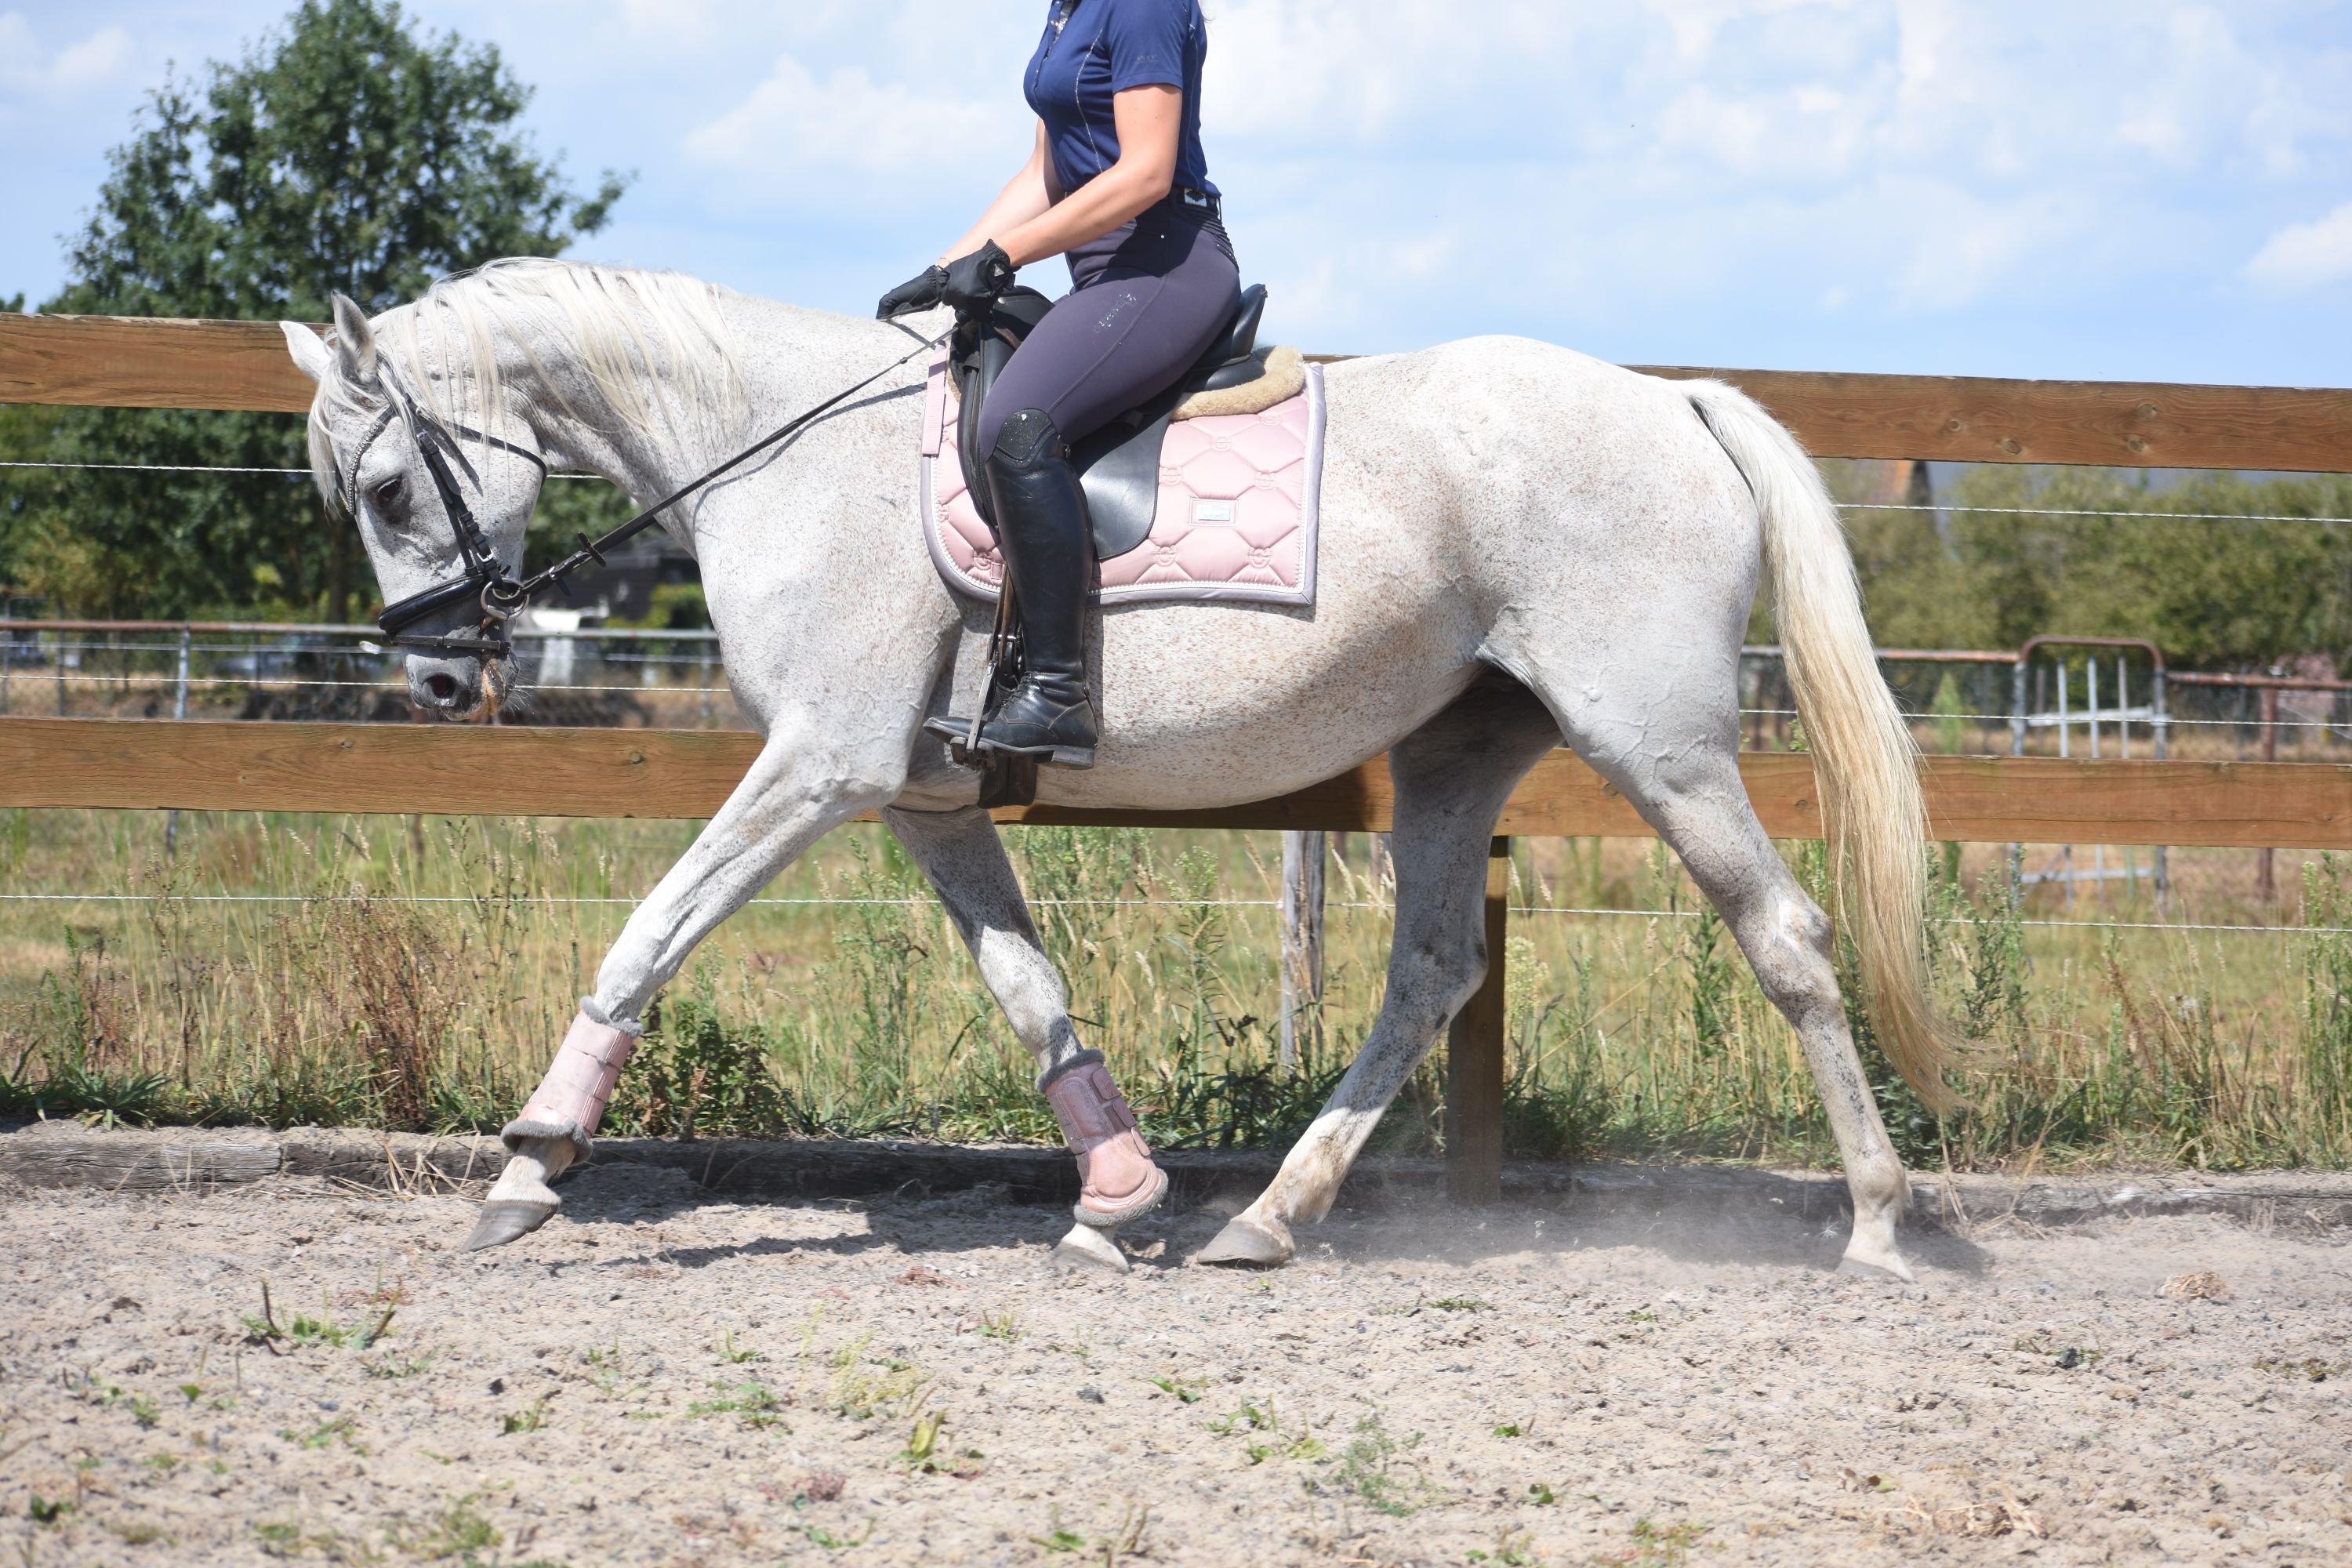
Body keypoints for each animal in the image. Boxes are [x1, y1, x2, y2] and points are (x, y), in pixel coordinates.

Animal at [281, 257, 1960, 1282]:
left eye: (388, 485)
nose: (439, 680)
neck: (779, 451)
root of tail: (1674, 398)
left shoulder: (819, 766)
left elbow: (648, 932)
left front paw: (532, 1161)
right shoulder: (920, 797)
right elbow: (1031, 990)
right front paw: (1123, 1197)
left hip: (1660, 747)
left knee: (1786, 941)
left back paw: (1879, 1222)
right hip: (1458, 750)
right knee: (1431, 969)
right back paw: (1270, 1217)